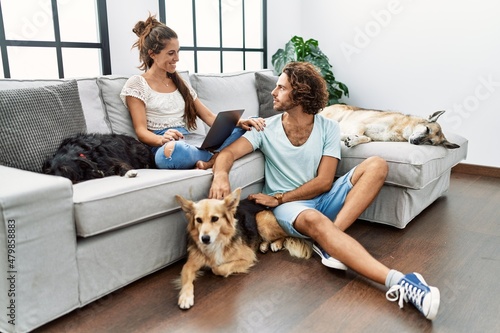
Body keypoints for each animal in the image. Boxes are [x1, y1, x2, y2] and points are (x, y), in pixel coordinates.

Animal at [320, 104, 460, 148]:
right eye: (427, 129)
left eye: (430, 142)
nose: (415, 142)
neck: (401, 129)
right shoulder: (361, 124)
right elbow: (361, 135)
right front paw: (352, 139)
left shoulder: (372, 136)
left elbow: (367, 138)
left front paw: (351, 139)